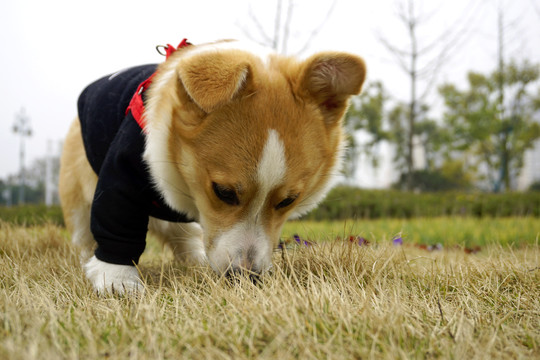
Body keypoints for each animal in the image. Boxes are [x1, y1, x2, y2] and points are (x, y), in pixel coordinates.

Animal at [59, 39, 364, 294]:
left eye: (288, 200)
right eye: (223, 192)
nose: (244, 277)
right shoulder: (121, 179)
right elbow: (116, 224)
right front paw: (117, 281)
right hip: (79, 196)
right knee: (84, 231)